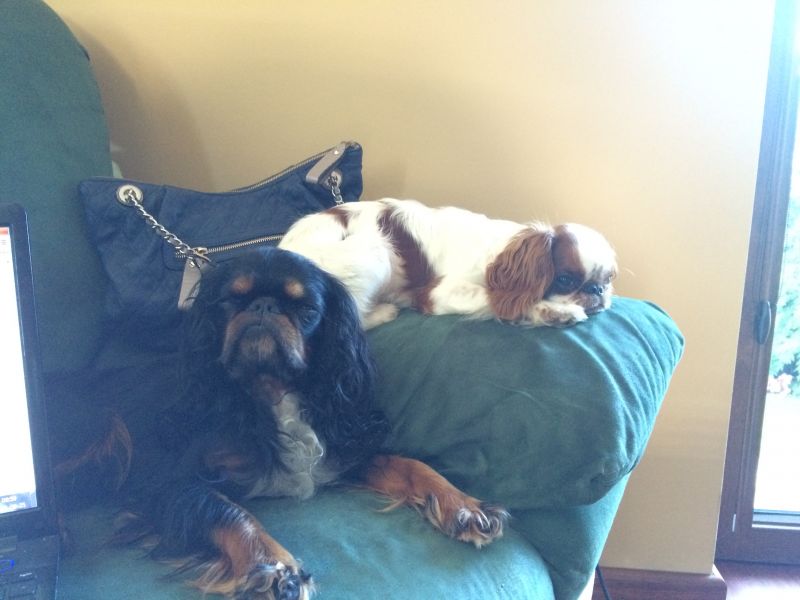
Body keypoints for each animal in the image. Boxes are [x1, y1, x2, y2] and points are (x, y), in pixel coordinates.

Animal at [98, 247, 507, 600]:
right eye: (231, 300)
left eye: (307, 308)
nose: (263, 306)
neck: (271, 391)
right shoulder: (168, 481)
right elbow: (228, 511)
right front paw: (273, 567)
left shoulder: (340, 450)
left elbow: (410, 466)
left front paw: (464, 507)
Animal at [279, 198, 617, 329]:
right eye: (566, 280)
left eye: (608, 280)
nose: (597, 290)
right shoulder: (437, 293)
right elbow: (495, 299)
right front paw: (556, 311)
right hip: (374, 250)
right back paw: (385, 311)